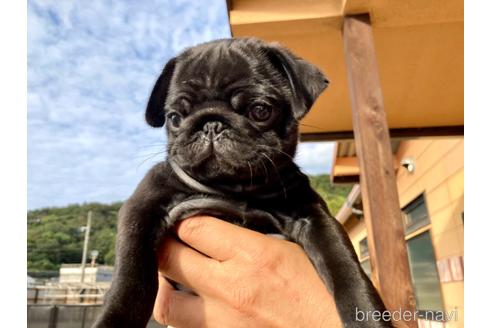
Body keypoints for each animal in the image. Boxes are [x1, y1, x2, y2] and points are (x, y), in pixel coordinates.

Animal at [94, 37, 390, 326]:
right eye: (175, 118)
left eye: (260, 111)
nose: (211, 124)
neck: (234, 189)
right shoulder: (142, 209)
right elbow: (132, 276)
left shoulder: (315, 218)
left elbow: (345, 265)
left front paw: (368, 315)